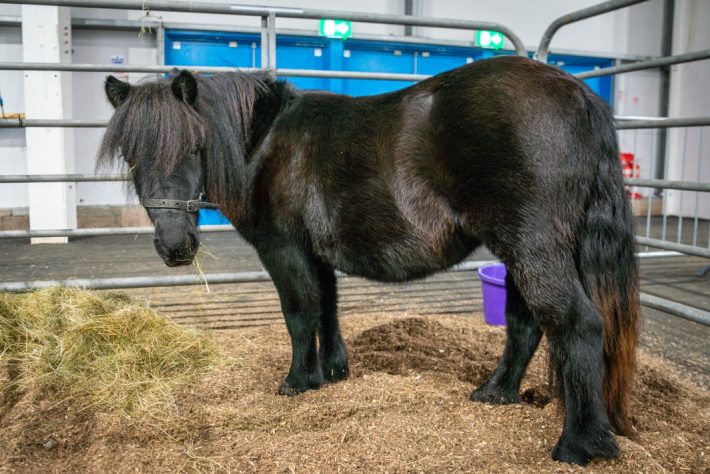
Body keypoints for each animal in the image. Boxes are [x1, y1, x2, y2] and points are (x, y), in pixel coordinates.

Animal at [98, 56, 640, 466]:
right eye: (130, 153)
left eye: (194, 145)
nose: (175, 247)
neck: (265, 145)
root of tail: (581, 95)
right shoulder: (315, 253)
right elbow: (327, 309)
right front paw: (332, 371)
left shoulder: (283, 249)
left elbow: (299, 314)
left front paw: (297, 383)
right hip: (524, 251)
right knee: (526, 324)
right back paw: (496, 393)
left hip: (532, 247)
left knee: (577, 325)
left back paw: (578, 445)